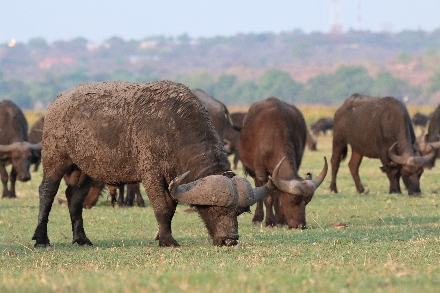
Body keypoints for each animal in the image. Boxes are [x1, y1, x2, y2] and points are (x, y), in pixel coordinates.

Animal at [31, 80, 282, 246]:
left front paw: (162, 236)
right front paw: (168, 241)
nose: (229, 240)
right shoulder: (151, 175)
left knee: (74, 198)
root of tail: (57, 103)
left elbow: (170, 209)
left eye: (238, 212)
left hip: (83, 170)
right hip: (54, 159)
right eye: (215, 209)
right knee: (46, 191)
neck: (174, 128)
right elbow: (161, 208)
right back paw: (41, 238)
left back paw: (81, 238)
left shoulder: (174, 179)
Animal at [237, 97, 326, 229]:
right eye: (292, 201)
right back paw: (257, 218)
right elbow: (267, 197)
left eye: (307, 201)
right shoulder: (261, 172)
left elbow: (277, 194)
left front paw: (281, 220)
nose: (301, 225)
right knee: (258, 188)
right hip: (254, 172)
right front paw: (270, 221)